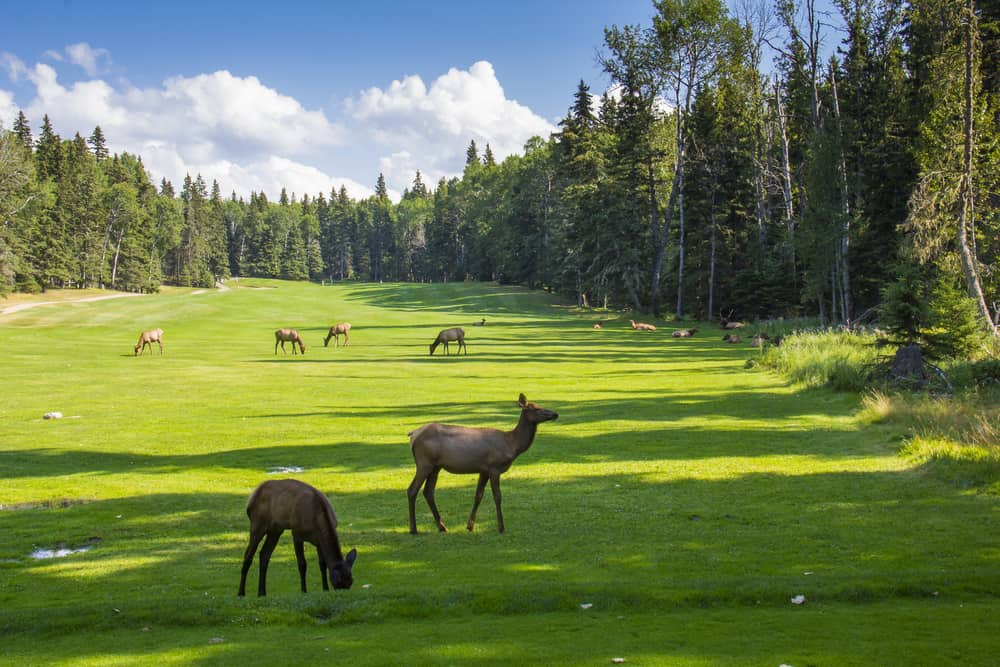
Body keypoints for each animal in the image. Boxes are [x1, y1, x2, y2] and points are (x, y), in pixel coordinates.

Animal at [408, 394, 564, 536]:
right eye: (536, 408)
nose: (555, 414)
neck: (512, 444)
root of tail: (413, 435)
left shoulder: (484, 470)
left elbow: (478, 495)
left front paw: (470, 526)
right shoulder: (494, 467)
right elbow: (498, 496)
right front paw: (501, 527)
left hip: (435, 466)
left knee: (428, 491)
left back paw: (442, 527)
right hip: (424, 463)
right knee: (412, 490)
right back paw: (414, 529)